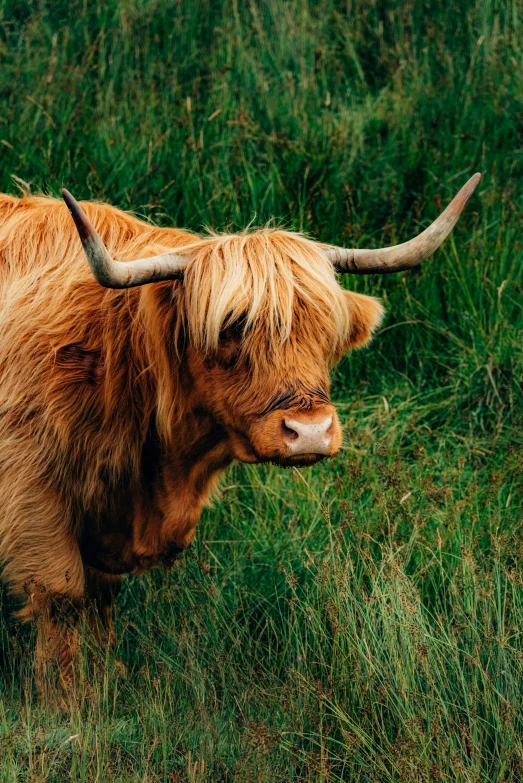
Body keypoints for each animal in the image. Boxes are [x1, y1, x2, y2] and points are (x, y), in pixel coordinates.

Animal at [0, 172, 482, 692]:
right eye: (231, 328)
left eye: (324, 330)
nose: (310, 432)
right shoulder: (31, 489)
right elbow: (63, 597)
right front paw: (68, 696)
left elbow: (101, 598)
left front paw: (110, 676)